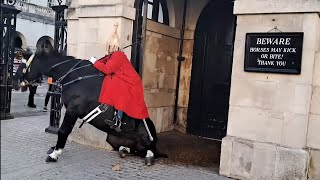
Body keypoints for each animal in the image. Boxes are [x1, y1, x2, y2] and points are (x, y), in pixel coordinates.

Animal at [13, 51, 166, 165]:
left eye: (24, 64)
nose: (13, 81)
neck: (74, 76)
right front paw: (54, 149)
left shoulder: (73, 110)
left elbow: (63, 131)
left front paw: (55, 154)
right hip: (112, 138)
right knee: (130, 149)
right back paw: (124, 150)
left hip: (145, 141)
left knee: (151, 151)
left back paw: (149, 156)